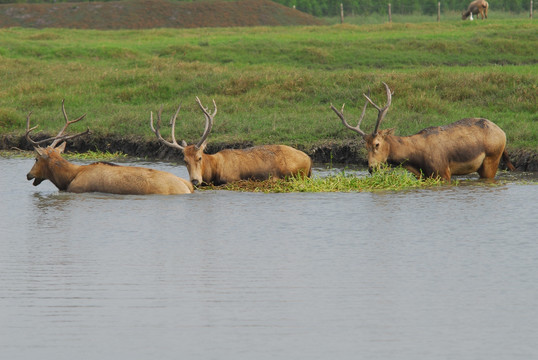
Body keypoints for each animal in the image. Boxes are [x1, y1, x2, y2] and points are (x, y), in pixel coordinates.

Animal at [150, 96, 310, 186]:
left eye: (199, 157)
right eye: (184, 160)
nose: (195, 181)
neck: (215, 168)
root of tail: (309, 159)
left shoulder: (233, 179)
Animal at [328, 82, 512, 181]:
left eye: (377, 144)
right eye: (364, 147)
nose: (371, 168)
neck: (416, 158)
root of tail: (503, 133)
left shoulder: (443, 172)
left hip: (492, 159)